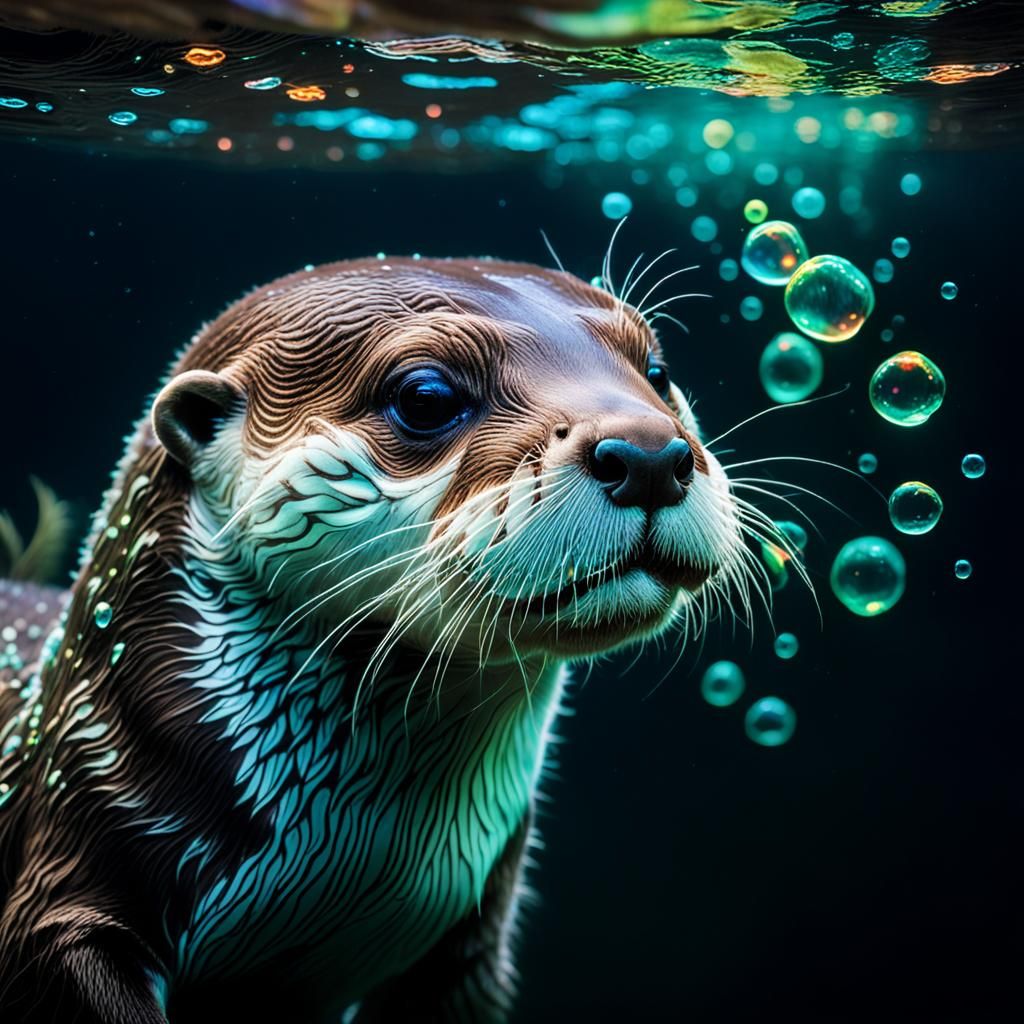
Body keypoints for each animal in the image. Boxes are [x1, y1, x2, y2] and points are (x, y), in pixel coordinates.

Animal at [0, 257, 747, 1023]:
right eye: (426, 396)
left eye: (656, 370)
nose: (649, 453)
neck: (354, 862)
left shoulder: (470, 946)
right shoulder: (80, 847)